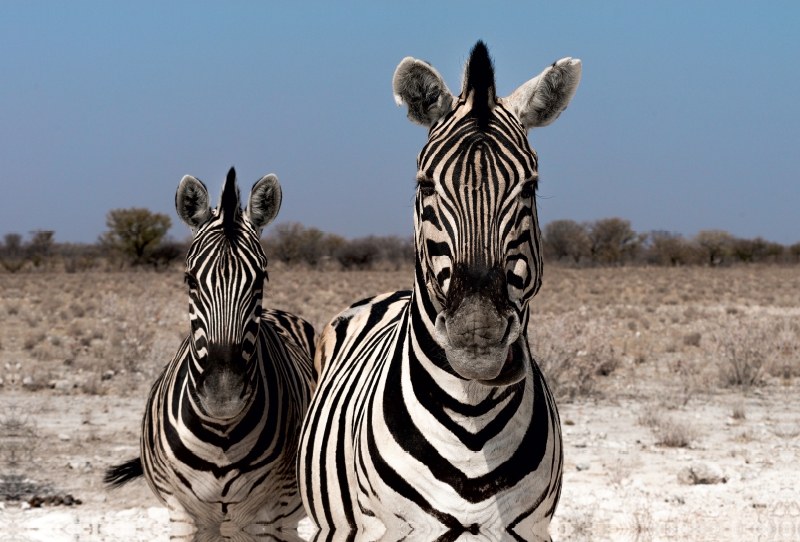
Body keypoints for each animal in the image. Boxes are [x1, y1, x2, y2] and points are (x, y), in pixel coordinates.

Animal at [105, 168, 316, 540]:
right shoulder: (183, 516)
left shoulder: (265, 519)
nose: (223, 395)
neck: (221, 436)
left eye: (260, 280)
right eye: (190, 280)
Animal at [296, 42, 580, 542]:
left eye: (530, 186)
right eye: (425, 184)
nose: (478, 332)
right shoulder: (389, 531)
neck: (472, 420)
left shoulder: (529, 530)